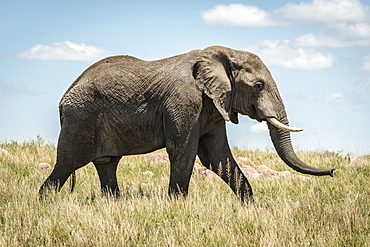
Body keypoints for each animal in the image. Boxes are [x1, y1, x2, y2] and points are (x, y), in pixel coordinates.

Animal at [39, 46, 334, 203]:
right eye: (259, 86)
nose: (332, 171)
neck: (224, 54)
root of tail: (64, 98)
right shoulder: (184, 102)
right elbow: (184, 151)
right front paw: (177, 206)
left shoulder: (214, 106)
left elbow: (218, 157)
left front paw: (251, 208)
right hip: (80, 121)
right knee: (66, 165)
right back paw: (45, 204)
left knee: (107, 164)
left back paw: (114, 203)